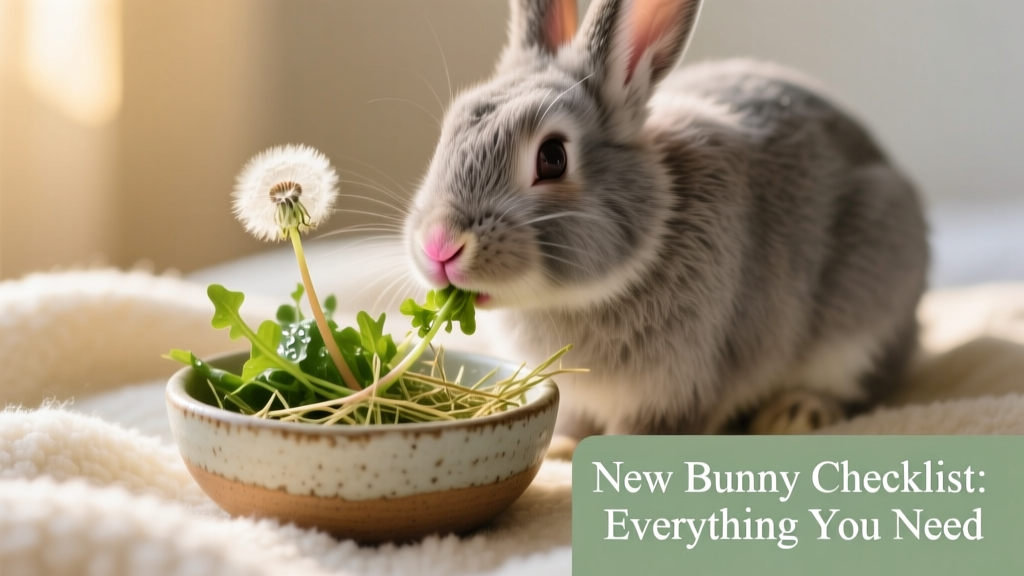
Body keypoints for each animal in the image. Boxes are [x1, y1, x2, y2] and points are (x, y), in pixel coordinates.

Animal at [402, 0, 928, 449]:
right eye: (448, 132)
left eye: (552, 158)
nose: (439, 245)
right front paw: (562, 449)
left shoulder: (685, 383)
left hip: (863, 311)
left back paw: (796, 414)